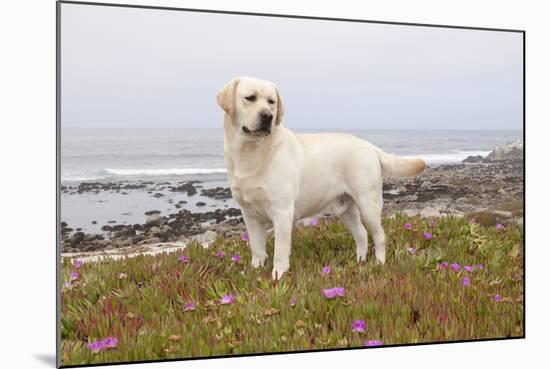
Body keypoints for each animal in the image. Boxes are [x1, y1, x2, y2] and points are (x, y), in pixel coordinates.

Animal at [217, 77, 426, 278]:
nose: (268, 116)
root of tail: (369, 145)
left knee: (380, 236)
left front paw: (278, 275)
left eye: (271, 102)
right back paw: (360, 261)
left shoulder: (282, 212)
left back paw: (379, 264)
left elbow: (280, 251)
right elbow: (257, 248)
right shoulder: (249, 214)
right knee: (361, 234)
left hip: (369, 204)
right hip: (345, 209)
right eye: (250, 98)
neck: (251, 153)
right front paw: (254, 270)